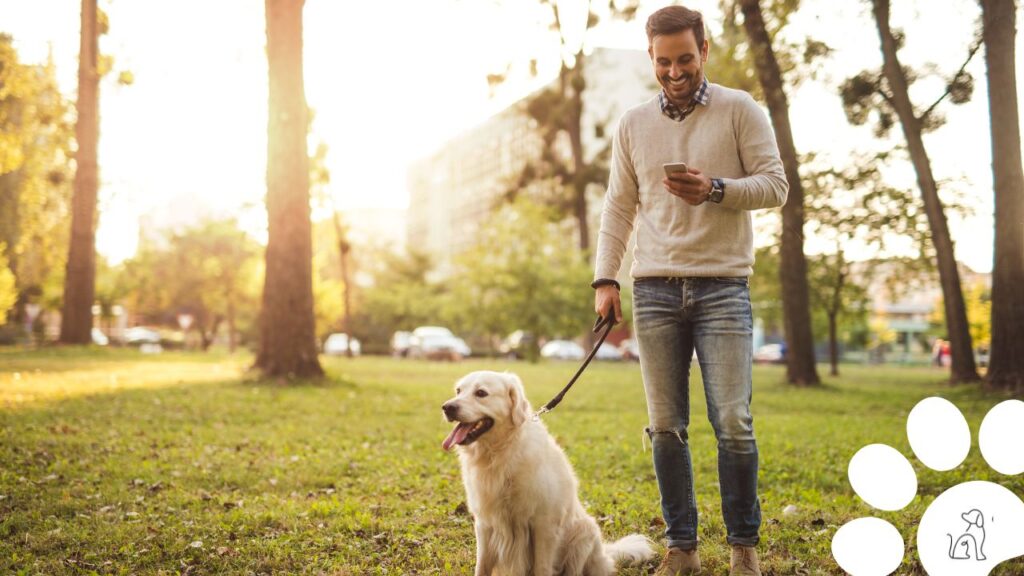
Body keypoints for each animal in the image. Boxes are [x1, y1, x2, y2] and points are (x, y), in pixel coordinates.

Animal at [438, 368, 647, 569]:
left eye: (481, 393)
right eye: (458, 391)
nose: (447, 407)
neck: (501, 453)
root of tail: (605, 553)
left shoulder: (544, 524)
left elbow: (542, 567)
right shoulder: (485, 524)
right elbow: (481, 567)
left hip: (583, 535)